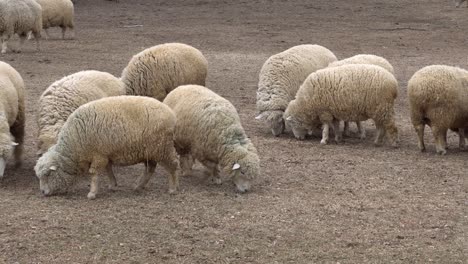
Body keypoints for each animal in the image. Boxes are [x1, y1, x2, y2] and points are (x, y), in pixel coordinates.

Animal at [33, 96, 180, 199]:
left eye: (47, 174)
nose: (43, 192)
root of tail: (171, 115)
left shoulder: (98, 155)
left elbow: (94, 174)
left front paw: (92, 193)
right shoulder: (105, 154)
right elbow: (108, 170)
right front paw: (113, 185)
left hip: (162, 147)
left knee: (173, 164)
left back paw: (172, 189)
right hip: (150, 151)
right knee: (150, 169)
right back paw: (139, 186)